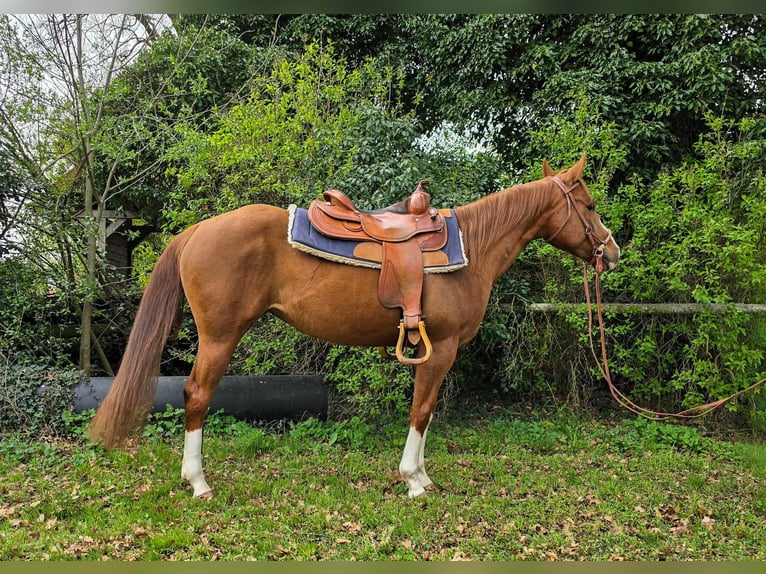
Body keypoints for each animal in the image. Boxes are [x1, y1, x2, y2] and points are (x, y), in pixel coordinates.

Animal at [88, 155, 620, 499]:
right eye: (591, 205)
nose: (612, 252)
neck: (473, 246)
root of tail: (198, 229)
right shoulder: (442, 348)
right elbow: (422, 411)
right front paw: (413, 480)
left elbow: (424, 413)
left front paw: (421, 475)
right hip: (219, 337)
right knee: (196, 394)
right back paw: (198, 482)